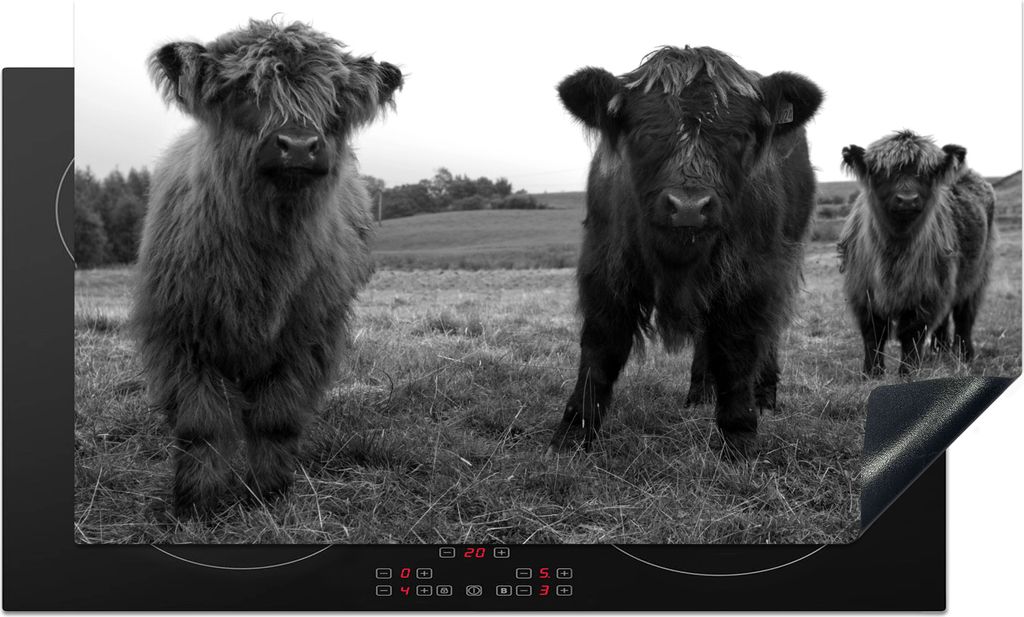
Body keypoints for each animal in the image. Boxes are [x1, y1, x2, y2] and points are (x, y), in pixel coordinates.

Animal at [132, 19, 403, 515]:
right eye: (244, 92)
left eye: (334, 101)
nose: (298, 145)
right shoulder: (180, 335)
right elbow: (201, 425)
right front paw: (197, 503)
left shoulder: (305, 338)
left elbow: (276, 418)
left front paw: (268, 493)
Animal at [549, 46, 823, 455]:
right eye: (645, 132)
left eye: (738, 136)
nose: (690, 207)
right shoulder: (605, 266)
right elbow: (601, 347)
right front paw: (573, 431)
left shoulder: (752, 275)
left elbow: (738, 349)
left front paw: (738, 434)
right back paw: (699, 392)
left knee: (768, 331)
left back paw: (764, 395)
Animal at [838, 130, 996, 377]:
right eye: (882, 173)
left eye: (927, 173)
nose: (907, 199)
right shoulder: (862, 290)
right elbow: (873, 333)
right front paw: (872, 372)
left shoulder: (925, 291)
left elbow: (912, 332)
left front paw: (908, 371)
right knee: (946, 317)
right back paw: (939, 351)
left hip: (976, 273)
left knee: (964, 314)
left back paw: (964, 354)